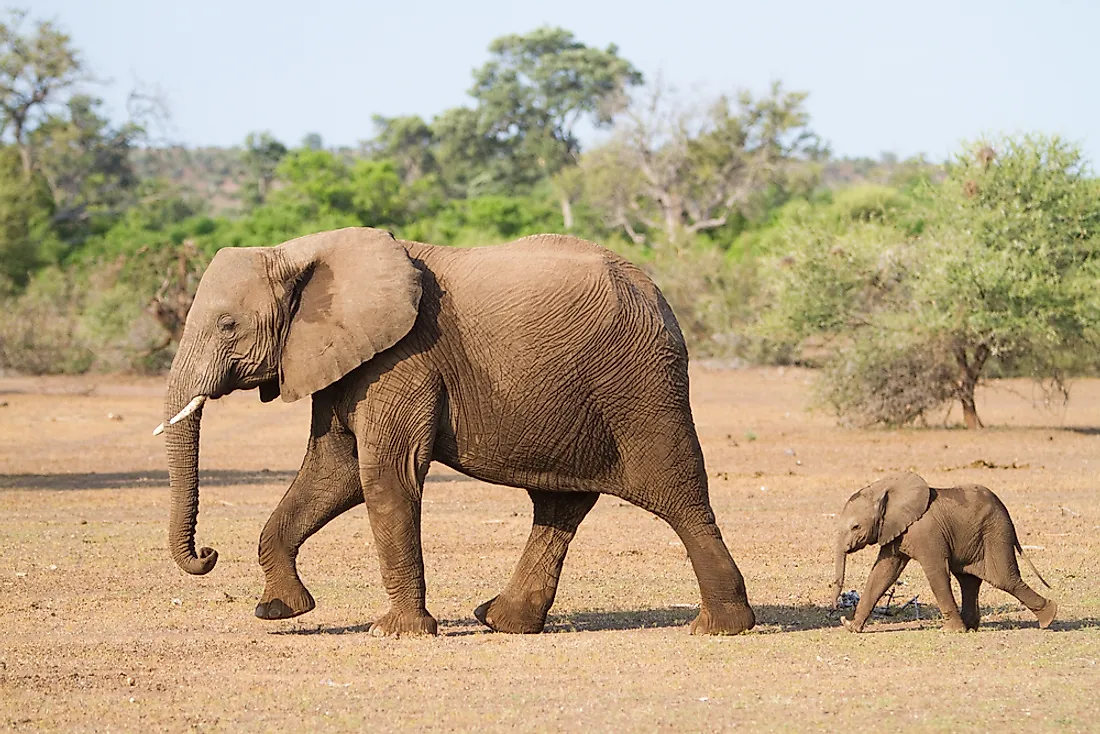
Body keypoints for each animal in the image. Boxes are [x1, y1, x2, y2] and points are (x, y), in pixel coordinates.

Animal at [157, 226, 756, 633]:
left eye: (227, 325)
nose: (208, 554)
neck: (300, 252)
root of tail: (657, 294)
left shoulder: (403, 358)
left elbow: (385, 475)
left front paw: (395, 633)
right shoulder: (343, 356)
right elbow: (333, 472)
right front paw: (279, 610)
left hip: (641, 386)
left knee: (678, 496)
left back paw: (720, 628)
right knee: (559, 505)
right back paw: (502, 621)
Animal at [831, 473, 1056, 633]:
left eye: (855, 527)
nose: (836, 608)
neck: (885, 489)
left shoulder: (926, 532)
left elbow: (935, 572)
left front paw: (951, 631)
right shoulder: (896, 531)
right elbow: (883, 573)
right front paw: (851, 627)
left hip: (995, 533)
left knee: (1004, 579)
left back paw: (1049, 618)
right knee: (968, 580)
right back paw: (971, 627)